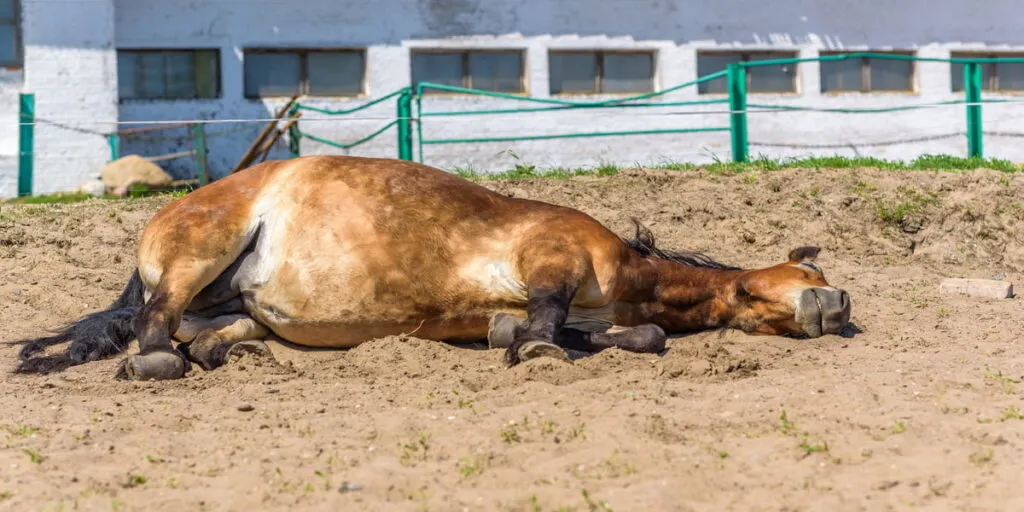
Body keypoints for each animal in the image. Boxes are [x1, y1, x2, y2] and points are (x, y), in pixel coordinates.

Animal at [16, 155, 851, 380]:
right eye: (809, 278)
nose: (837, 305)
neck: (628, 271)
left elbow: (633, 337)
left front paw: (521, 341)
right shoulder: (550, 258)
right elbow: (549, 321)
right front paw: (537, 350)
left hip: (228, 303)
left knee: (206, 334)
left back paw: (236, 353)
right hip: (200, 250)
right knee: (152, 325)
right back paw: (161, 360)